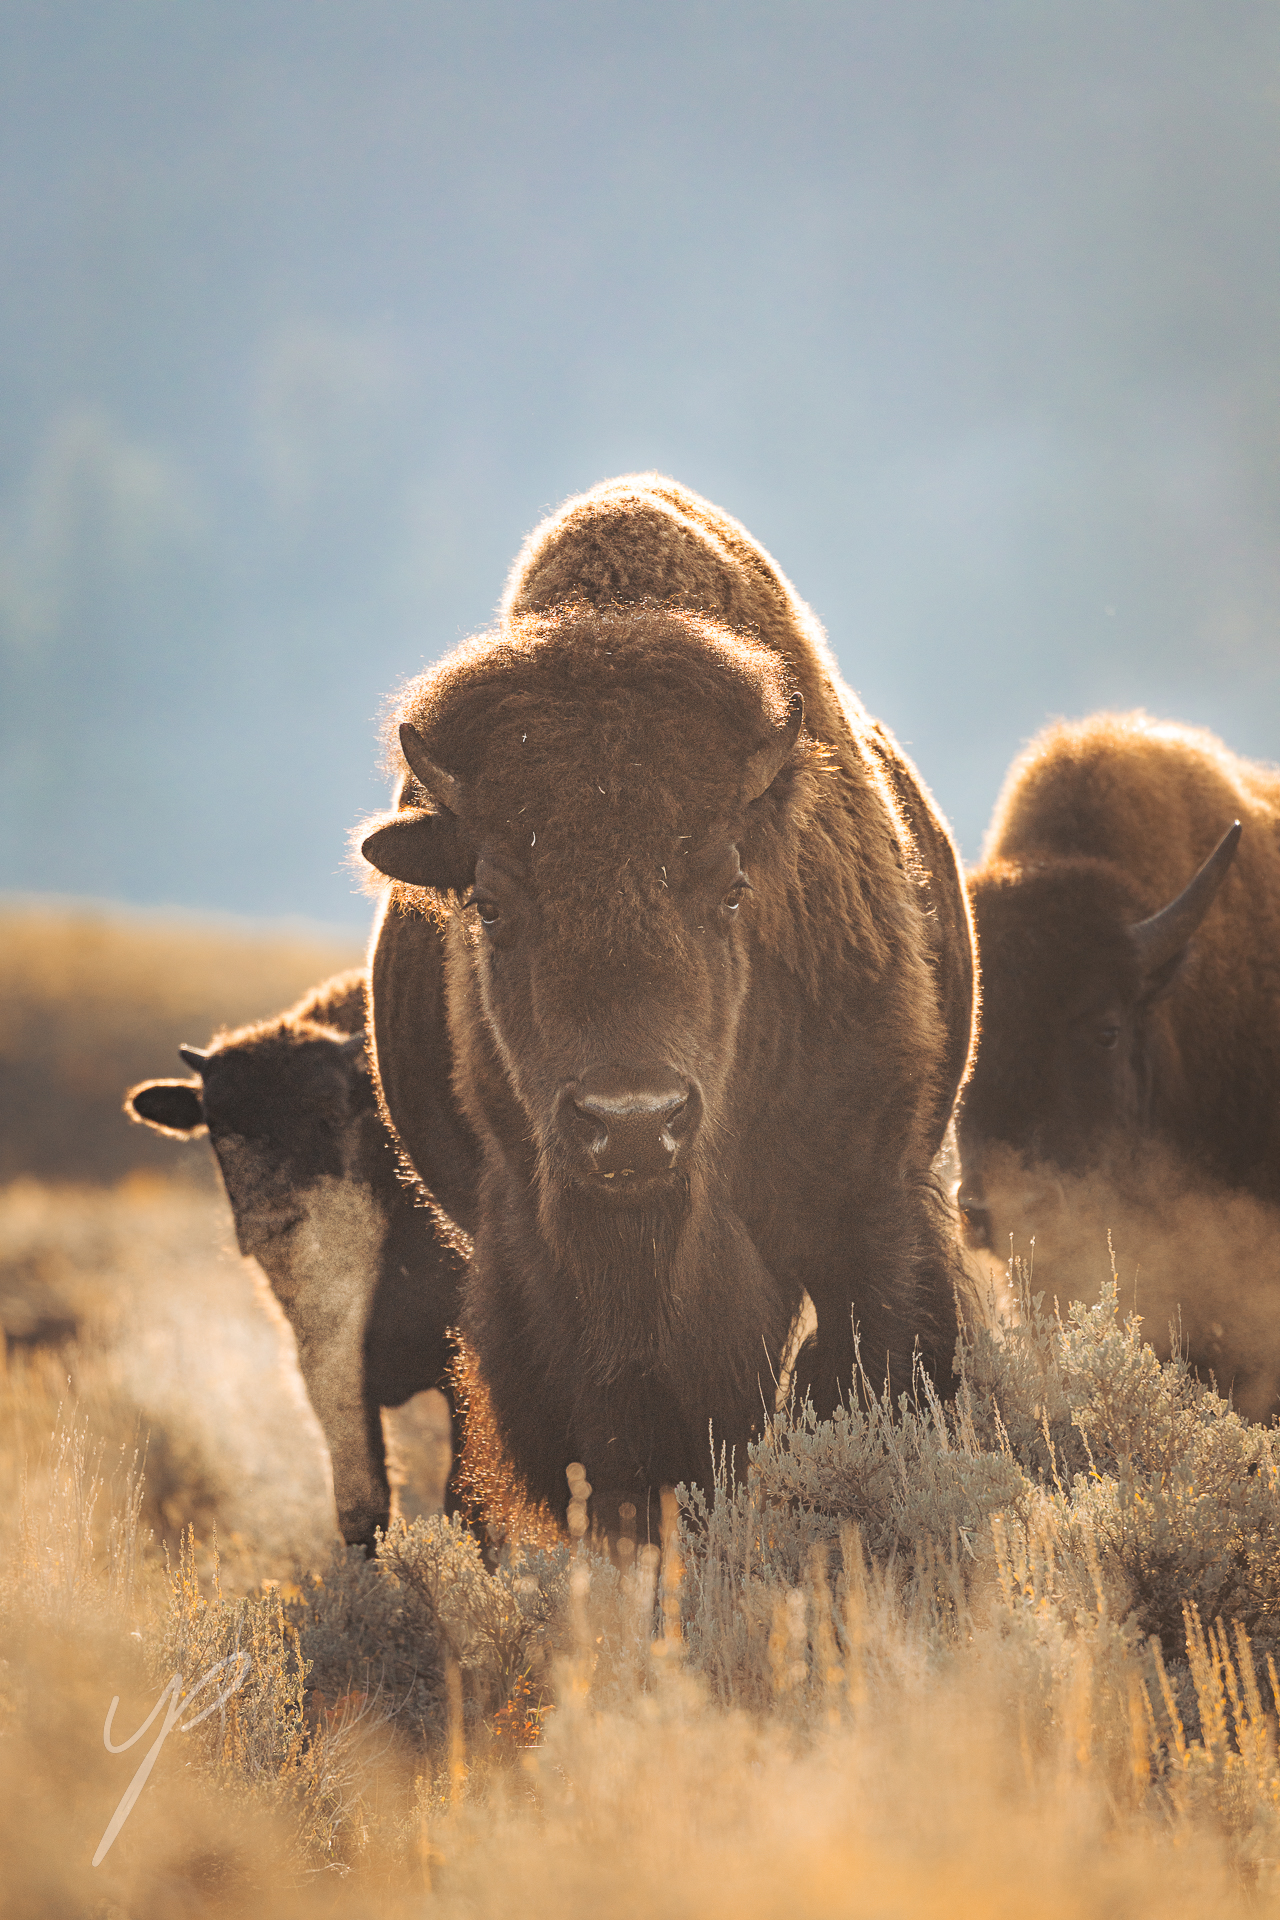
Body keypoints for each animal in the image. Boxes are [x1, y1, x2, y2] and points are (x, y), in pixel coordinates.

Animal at [355, 472, 974, 1536]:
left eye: (730, 888)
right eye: (490, 904)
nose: (633, 1123)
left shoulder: (868, 1219)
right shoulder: (554, 1275)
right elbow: (629, 1449)